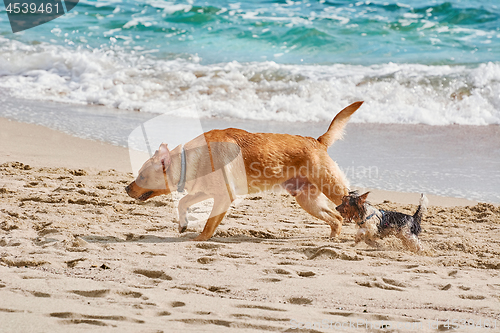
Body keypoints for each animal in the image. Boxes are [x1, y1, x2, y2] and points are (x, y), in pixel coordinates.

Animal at [126, 100, 364, 240]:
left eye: (142, 176)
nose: (126, 188)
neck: (191, 158)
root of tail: (317, 141)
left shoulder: (223, 197)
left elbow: (209, 225)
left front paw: (199, 240)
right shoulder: (206, 191)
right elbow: (183, 202)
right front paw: (183, 224)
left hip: (333, 190)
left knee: (356, 209)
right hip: (308, 201)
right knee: (337, 217)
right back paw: (333, 238)